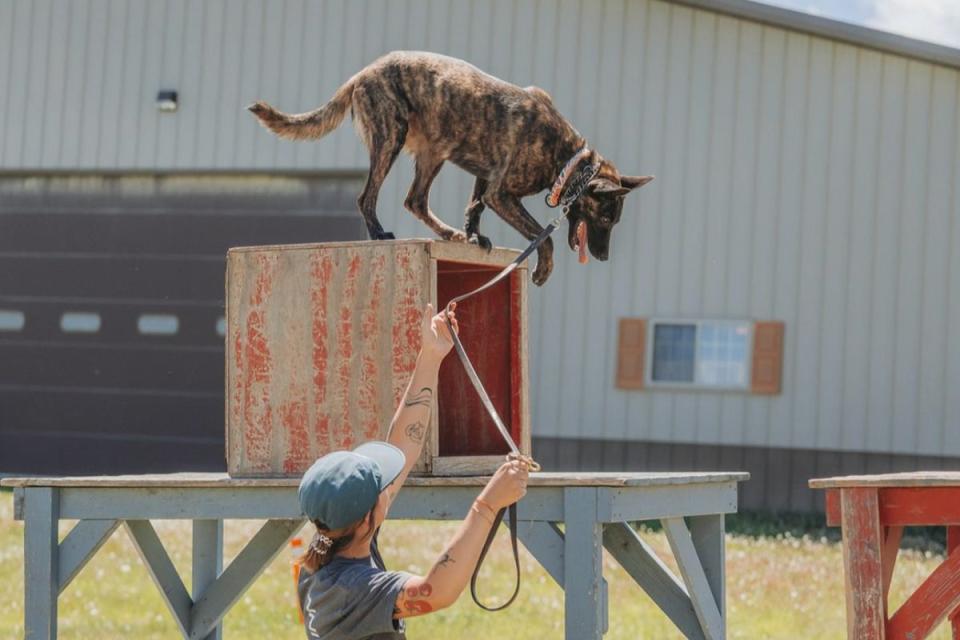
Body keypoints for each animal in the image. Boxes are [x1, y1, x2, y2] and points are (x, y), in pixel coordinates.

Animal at [248, 51, 652, 286]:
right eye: (605, 220)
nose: (603, 257)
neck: (567, 159)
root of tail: (362, 73)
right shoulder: (502, 193)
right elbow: (544, 235)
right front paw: (542, 269)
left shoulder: (486, 179)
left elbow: (474, 206)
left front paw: (472, 237)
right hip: (391, 137)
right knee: (367, 196)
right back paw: (378, 233)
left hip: (434, 152)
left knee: (415, 200)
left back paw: (448, 233)